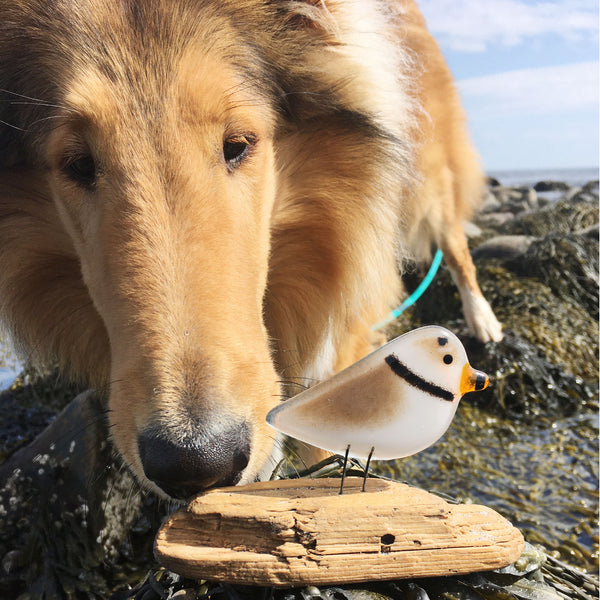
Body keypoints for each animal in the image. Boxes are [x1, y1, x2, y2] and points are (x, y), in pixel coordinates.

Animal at [0, 0, 500, 500]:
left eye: (237, 144)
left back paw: (482, 320)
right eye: (78, 164)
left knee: (456, 248)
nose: (196, 462)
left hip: (429, 179)